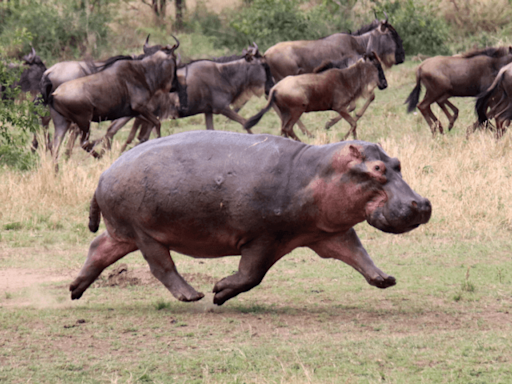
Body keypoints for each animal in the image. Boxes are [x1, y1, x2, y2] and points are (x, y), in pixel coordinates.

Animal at [70, 130, 432, 304]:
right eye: (378, 168)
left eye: (397, 163)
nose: (422, 204)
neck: (318, 171)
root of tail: (103, 174)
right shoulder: (264, 237)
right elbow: (251, 275)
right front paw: (219, 291)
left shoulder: (328, 232)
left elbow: (357, 253)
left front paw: (385, 279)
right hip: (145, 232)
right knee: (162, 266)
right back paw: (193, 295)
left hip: (123, 232)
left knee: (98, 248)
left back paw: (75, 289)